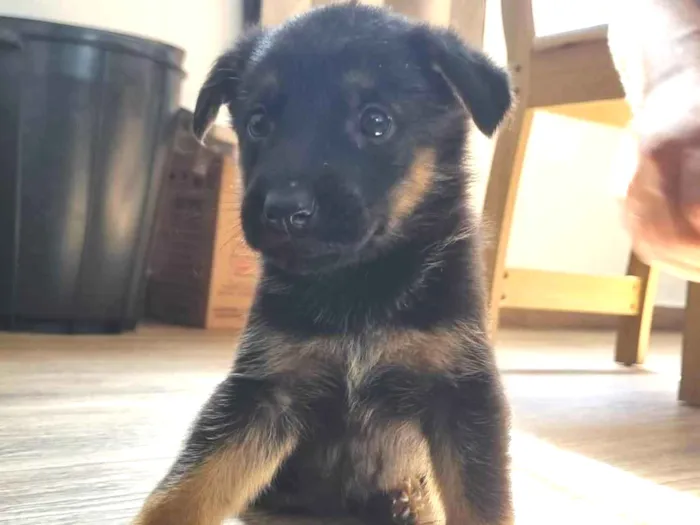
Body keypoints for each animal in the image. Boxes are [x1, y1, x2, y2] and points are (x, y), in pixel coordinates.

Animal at [134, 4, 512, 524]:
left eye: (376, 122)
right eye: (258, 124)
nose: (283, 210)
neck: (359, 284)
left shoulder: (461, 395)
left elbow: (481, 502)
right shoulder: (265, 392)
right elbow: (185, 490)